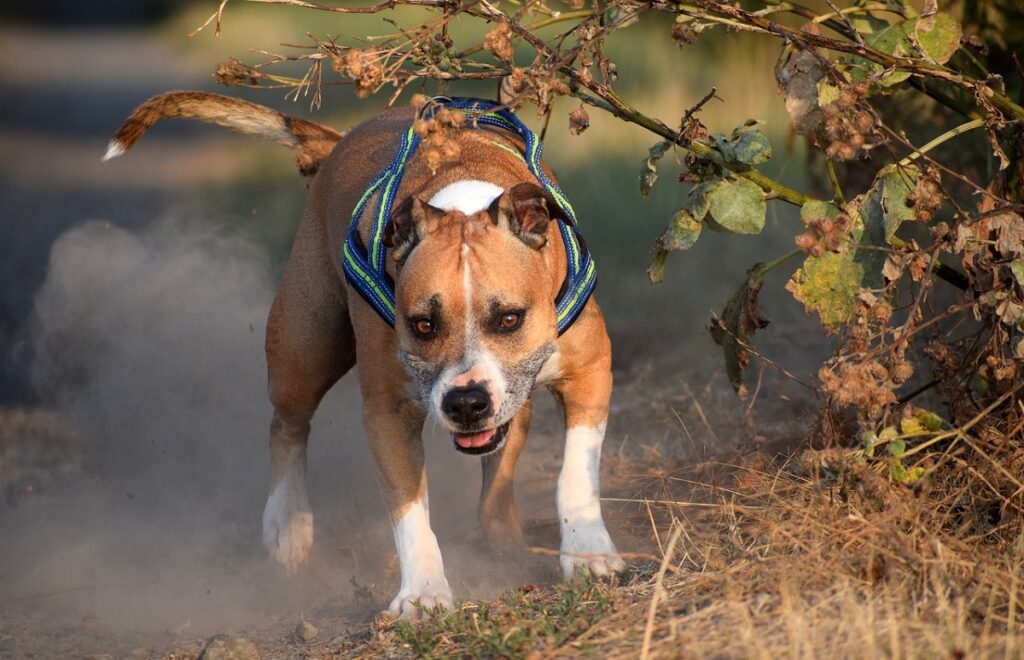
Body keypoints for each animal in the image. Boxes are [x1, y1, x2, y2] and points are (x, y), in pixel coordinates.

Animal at [105, 90, 622, 613]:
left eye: (510, 319)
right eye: (422, 325)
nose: (466, 403)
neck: (461, 197)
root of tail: (340, 140)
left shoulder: (591, 371)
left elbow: (575, 473)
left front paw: (587, 552)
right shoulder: (388, 412)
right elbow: (409, 510)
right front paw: (423, 592)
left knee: (498, 472)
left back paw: (504, 541)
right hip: (304, 349)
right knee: (287, 425)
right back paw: (288, 524)